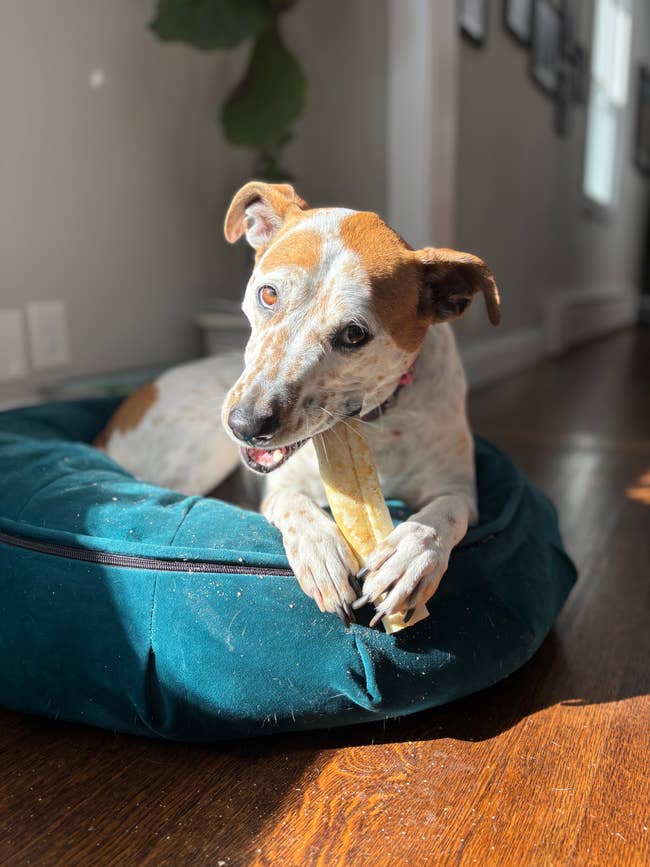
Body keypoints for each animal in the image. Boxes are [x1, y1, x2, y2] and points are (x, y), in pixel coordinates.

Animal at [96, 181, 500, 627]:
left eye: (355, 334)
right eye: (268, 294)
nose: (245, 424)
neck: (374, 427)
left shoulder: (459, 490)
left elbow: (443, 514)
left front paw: (411, 556)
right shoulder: (281, 486)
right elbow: (295, 504)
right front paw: (321, 551)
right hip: (204, 451)